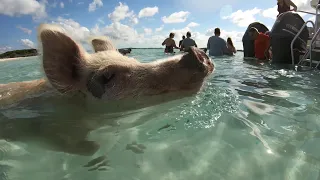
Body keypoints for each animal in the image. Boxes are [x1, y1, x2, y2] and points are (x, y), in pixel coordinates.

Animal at [0, 23, 215, 158]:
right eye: (107, 77)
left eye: (134, 61)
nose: (196, 53)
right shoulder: (52, 130)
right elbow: (85, 149)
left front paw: (138, 148)